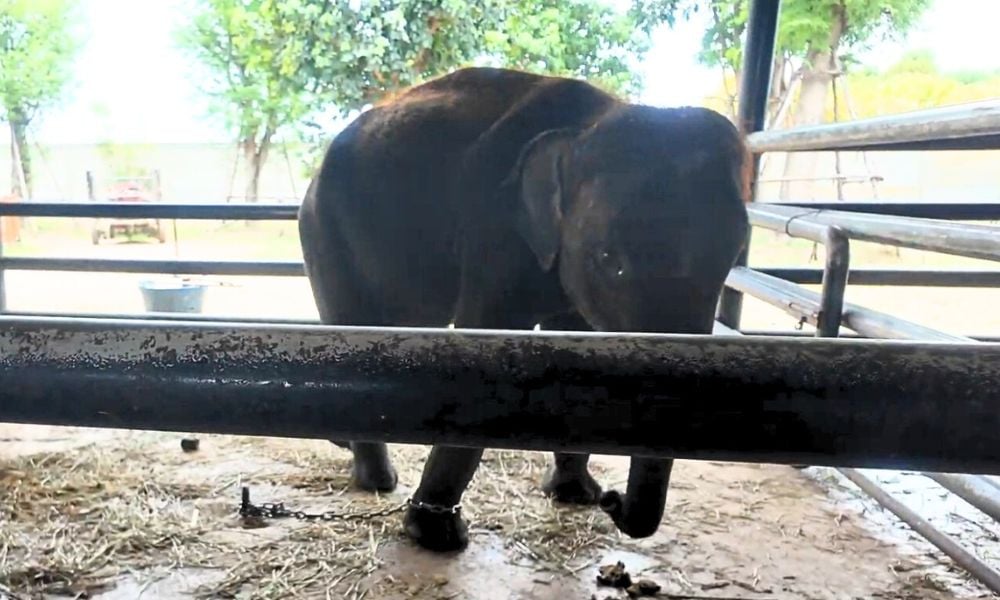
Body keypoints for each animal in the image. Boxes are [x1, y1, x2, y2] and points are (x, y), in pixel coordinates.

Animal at [297, 66, 751, 553]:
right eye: (610, 259)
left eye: (731, 257)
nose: (612, 500)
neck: (587, 125)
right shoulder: (493, 226)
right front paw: (438, 537)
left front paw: (575, 495)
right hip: (323, 229)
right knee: (351, 325)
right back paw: (378, 481)